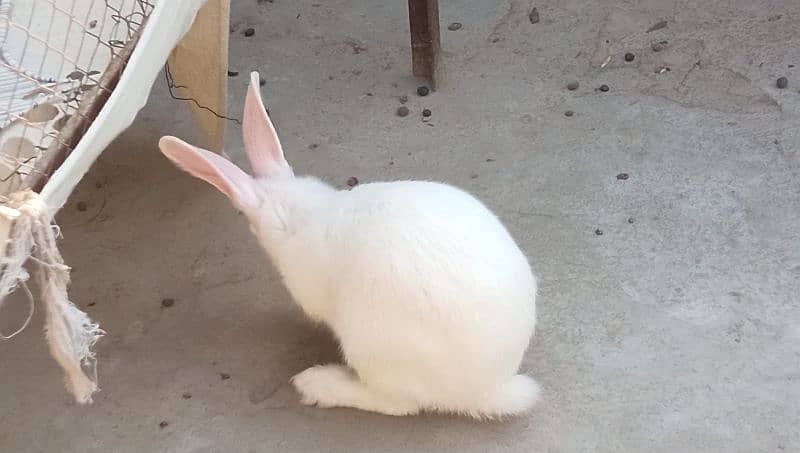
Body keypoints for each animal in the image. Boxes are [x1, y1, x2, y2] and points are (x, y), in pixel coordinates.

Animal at [158, 73, 536, 416]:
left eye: (242, 213)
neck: (299, 212)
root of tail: (489, 388)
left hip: (370, 344)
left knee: (399, 405)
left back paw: (317, 385)